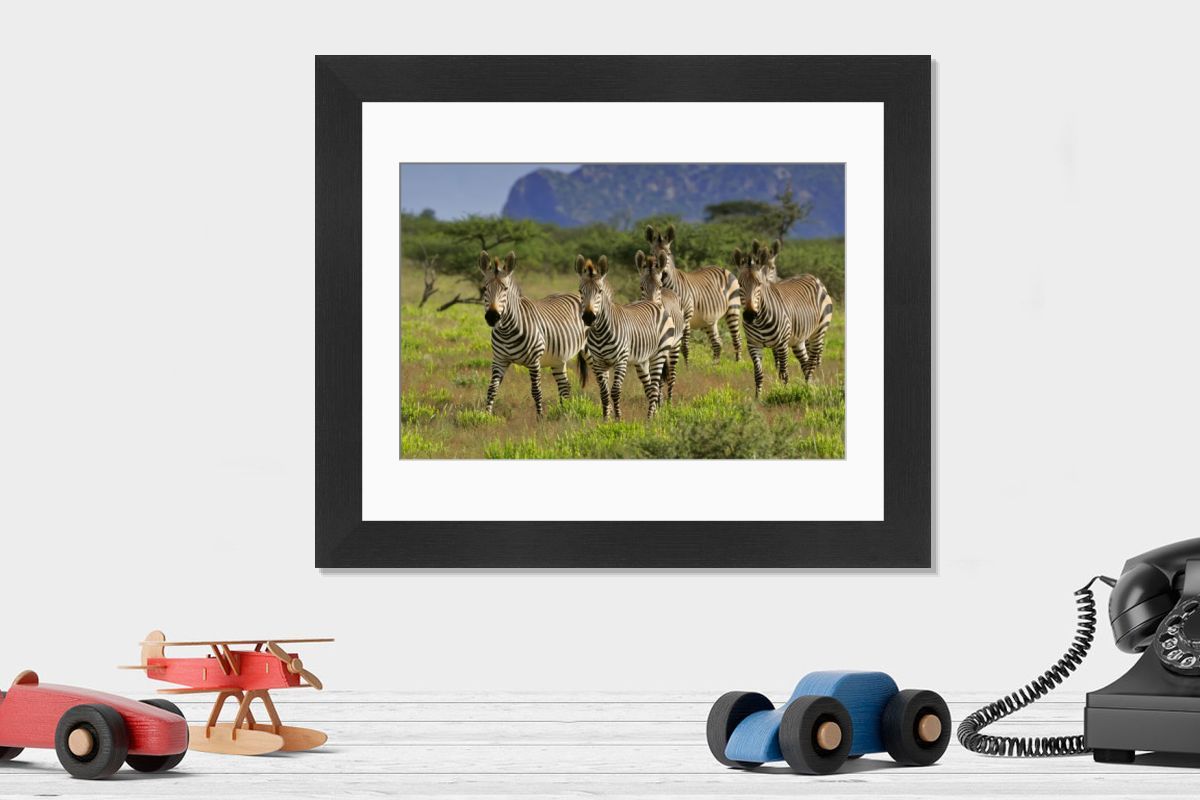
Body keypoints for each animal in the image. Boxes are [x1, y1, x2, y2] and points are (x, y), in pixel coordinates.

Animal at [480, 250, 588, 417]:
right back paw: (565, 413)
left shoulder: (534, 361)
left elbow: (536, 391)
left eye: (505, 289)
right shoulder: (499, 359)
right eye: (484, 288)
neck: (507, 332)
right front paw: (486, 417)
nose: (492, 317)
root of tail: (574, 294)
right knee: (565, 386)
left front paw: (540, 418)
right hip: (558, 359)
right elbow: (491, 389)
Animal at [576, 254, 675, 420]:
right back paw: (652, 416)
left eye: (600, 291)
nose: (589, 317)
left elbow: (615, 391)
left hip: (659, 353)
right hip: (642, 360)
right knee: (649, 387)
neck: (599, 332)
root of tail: (653, 303)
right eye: (580, 291)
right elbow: (604, 393)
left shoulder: (620, 360)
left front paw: (618, 419)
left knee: (655, 387)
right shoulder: (598, 362)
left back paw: (650, 418)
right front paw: (606, 420)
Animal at [635, 249, 684, 404]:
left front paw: (659, 401)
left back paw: (669, 402)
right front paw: (655, 399)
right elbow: (651, 379)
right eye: (641, 287)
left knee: (672, 374)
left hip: (676, 344)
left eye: (659, 286)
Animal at [646, 224, 743, 362]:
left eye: (668, 253)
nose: (662, 275)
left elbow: (684, 346)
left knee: (737, 338)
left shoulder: (685, 317)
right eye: (651, 254)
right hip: (709, 319)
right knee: (717, 343)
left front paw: (687, 366)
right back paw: (715, 365)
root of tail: (723, 268)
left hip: (733, 310)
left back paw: (738, 362)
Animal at [735, 247, 835, 399]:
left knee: (811, 364)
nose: (750, 315)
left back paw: (808, 391)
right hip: (798, 340)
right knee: (805, 363)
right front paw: (757, 398)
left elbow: (784, 374)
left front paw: (784, 393)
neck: (760, 322)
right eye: (740, 284)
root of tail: (813, 277)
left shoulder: (781, 344)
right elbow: (758, 374)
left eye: (759, 284)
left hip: (818, 332)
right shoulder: (753, 345)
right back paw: (808, 387)